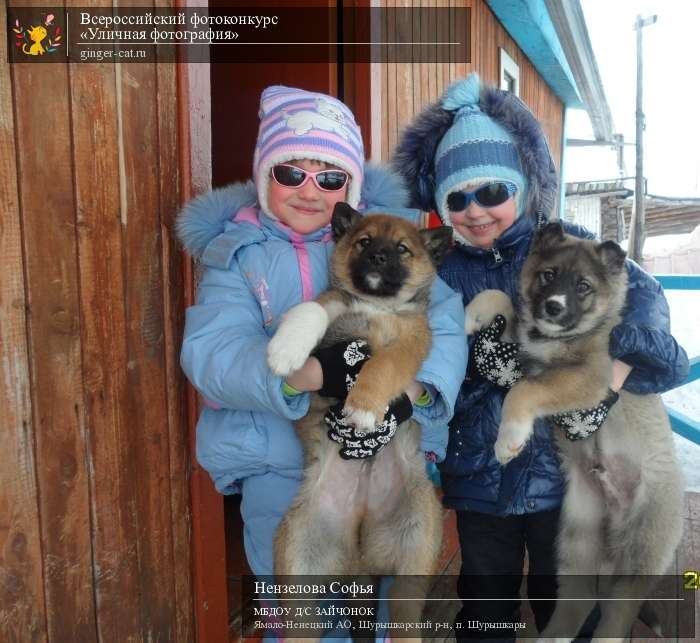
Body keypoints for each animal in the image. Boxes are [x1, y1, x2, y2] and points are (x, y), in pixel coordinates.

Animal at [266, 204, 452, 640]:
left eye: (401, 249)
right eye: (364, 241)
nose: (378, 257)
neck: (376, 308)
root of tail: (359, 555)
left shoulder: (411, 341)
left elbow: (383, 365)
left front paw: (365, 407)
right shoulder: (333, 309)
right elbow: (311, 309)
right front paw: (285, 349)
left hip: (414, 559)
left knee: (405, 620)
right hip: (298, 571)